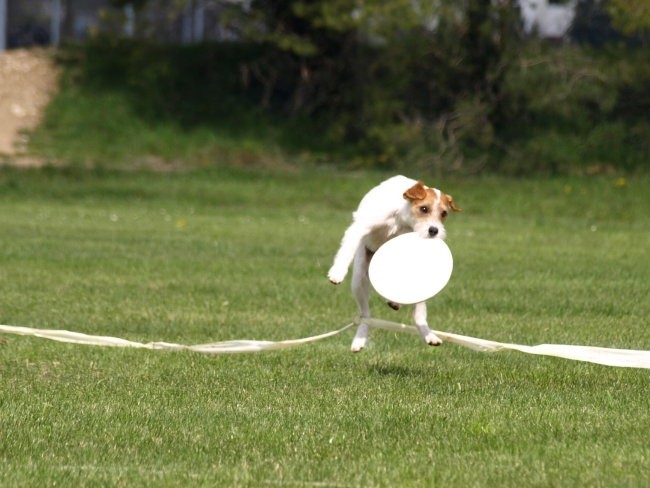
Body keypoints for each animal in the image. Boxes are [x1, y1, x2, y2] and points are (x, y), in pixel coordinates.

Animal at [326, 175, 458, 350]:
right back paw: (360, 339)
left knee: (418, 315)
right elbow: (347, 250)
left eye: (444, 213)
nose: (434, 231)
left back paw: (428, 334)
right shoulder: (360, 228)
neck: (402, 221)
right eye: (424, 209)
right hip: (359, 281)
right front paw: (337, 273)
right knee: (365, 315)